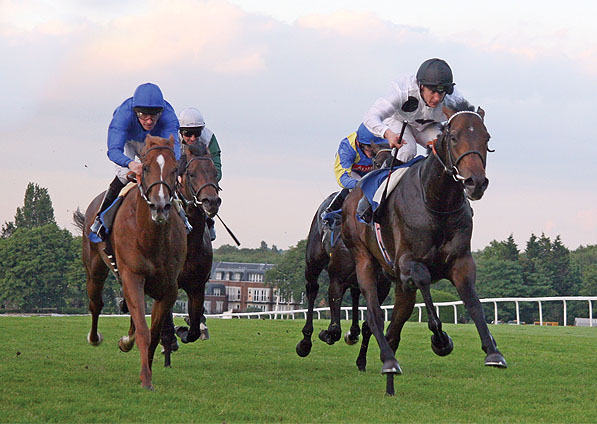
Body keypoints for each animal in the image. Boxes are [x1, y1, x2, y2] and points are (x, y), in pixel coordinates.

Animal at [77, 134, 185, 390]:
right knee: (96, 303)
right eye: (145, 168)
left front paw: (147, 368)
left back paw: (127, 339)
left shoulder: (168, 288)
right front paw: (146, 378)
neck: (151, 237)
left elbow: (153, 332)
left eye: (175, 169)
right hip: (95, 269)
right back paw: (95, 338)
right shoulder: (132, 276)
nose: (160, 206)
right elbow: (145, 331)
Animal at [158, 142, 221, 368]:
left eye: (215, 173)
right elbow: (167, 327)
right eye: (192, 174)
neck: (189, 242)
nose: (211, 202)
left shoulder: (197, 286)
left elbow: (193, 328)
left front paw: (184, 330)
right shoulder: (168, 285)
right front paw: (168, 352)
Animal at [296, 142, 394, 362]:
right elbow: (334, 328)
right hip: (313, 261)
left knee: (356, 292)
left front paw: (361, 360)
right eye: (376, 163)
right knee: (312, 289)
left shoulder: (382, 286)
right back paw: (305, 342)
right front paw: (325, 334)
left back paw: (353, 332)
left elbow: (369, 324)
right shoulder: (337, 278)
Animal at [340, 105, 502, 394]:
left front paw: (493, 350)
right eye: (454, 137)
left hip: (398, 286)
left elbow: (473, 301)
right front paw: (440, 339)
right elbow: (424, 279)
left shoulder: (461, 261)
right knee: (374, 315)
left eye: (486, 138)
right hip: (364, 260)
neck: (436, 201)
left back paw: (389, 381)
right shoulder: (407, 262)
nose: (475, 182)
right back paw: (389, 361)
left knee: (394, 328)